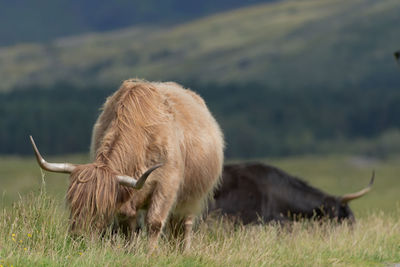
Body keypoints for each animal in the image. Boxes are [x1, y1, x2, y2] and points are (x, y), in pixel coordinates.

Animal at [30, 79, 225, 251]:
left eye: (101, 210)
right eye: (72, 204)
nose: (78, 238)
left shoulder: (166, 185)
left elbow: (154, 222)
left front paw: (150, 254)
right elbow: (127, 227)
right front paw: (129, 251)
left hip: (191, 198)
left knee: (184, 224)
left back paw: (182, 251)